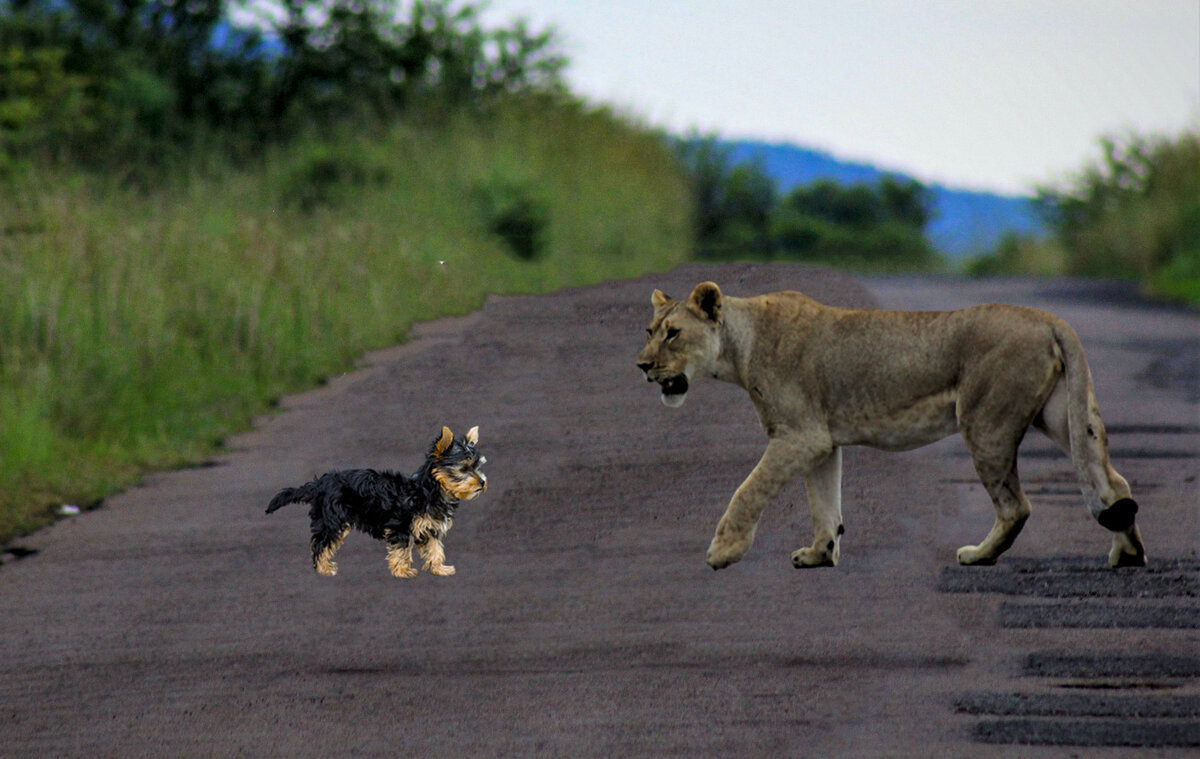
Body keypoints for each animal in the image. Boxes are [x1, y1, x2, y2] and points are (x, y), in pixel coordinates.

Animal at [265, 425, 484, 578]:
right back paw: (323, 569)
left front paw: (439, 569)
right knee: (321, 543)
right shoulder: (401, 526)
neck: (428, 490)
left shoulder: (429, 528)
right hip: (332, 520)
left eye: (478, 467)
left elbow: (435, 549)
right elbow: (402, 550)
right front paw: (403, 571)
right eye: (464, 469)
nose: (482, 482)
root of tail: (319, 484)